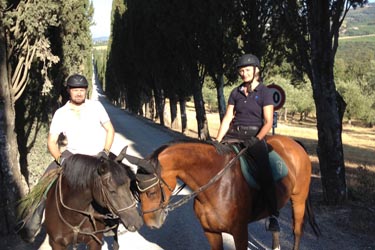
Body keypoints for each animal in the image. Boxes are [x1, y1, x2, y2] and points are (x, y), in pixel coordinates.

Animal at [125, 136, 322, 249]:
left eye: (151, 193)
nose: (151, 224)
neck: (218, 185)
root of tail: (295, 144)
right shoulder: (210, 232)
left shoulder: (240, 231)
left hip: (298, 200)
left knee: (297, 231)